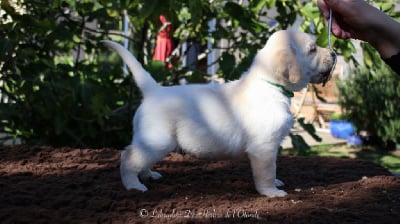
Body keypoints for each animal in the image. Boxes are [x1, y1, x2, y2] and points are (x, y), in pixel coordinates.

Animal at [101, 29, 336, 198]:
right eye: (312, 49)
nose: (334, 54)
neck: (270, 84)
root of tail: (154, 91)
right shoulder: (264, 146)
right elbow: (267, 172)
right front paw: (272, 191)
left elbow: (273, 169)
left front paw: (276, 182)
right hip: (158, 139)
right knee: (128, 156)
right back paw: (133, 185)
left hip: (154, 142)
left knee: (141, 158)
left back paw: (148, 175)